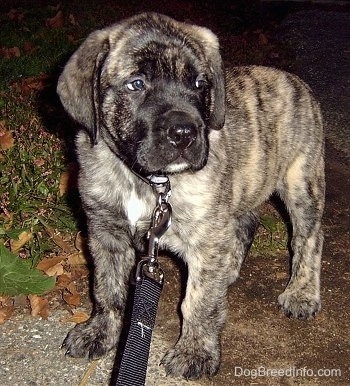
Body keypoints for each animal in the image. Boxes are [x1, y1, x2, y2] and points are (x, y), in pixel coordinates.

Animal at [57, 12, 326, 380]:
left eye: (200, 84)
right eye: (136, 84)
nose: (185, 133)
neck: (148, 181)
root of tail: (296, 81)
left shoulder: (207, 237)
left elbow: (198, 301)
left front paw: (195, 351)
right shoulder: (105, 232)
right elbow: (106, 287)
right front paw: (99, 331)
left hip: (301, 182)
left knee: (307, 238)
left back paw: (301, 293)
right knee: (246, 225)